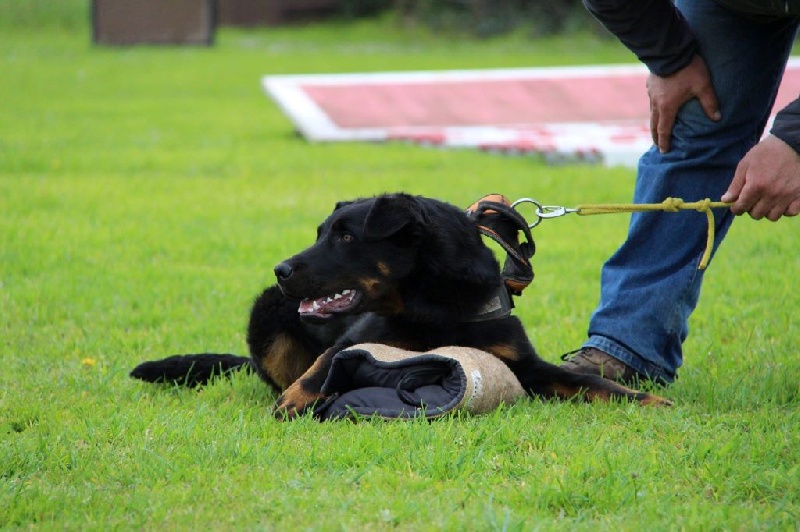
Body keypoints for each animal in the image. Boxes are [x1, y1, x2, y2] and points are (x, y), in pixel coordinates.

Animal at [131, 193, 668, 418]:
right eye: (322, 233)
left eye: (346, 237)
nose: (280, 270)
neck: (434, 304)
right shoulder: (357, 337)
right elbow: (322, 368)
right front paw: (297, 402)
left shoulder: (526, 366)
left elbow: (591, 383)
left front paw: (646, 399)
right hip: (268, 316)